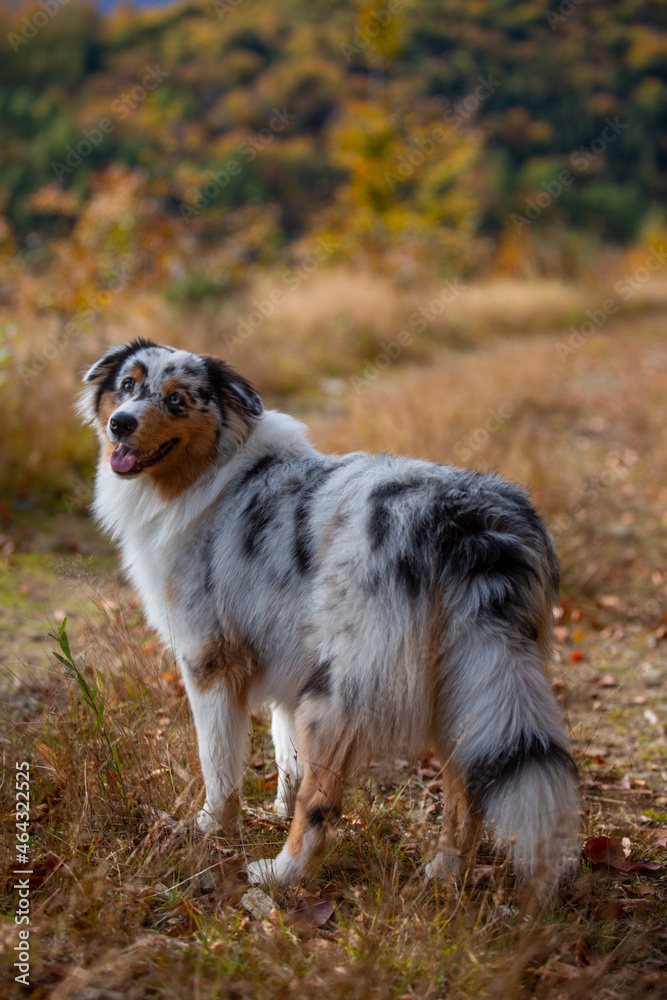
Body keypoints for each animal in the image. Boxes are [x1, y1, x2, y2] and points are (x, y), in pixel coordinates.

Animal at [79, 338, 580, 892]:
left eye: (176, 401)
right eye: (127, 385)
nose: (120, 423)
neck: (215, 471)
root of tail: (466, 523)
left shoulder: (208, 661)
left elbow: (219, 763)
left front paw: (211, 828)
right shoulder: (281, 655)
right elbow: (285, 754)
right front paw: (272, 809)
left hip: (340, 689)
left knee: (322, 803)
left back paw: (282, 872)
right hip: (465, 682)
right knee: (465, 783)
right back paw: (445, 874)